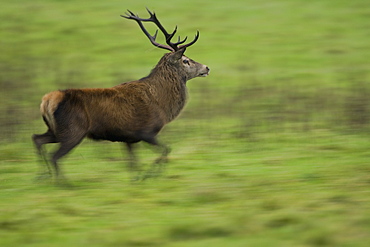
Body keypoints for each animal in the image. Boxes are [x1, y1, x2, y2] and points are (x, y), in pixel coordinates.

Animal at [32, 8, 210, 180]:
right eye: (185, 60)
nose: (206, 67)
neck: (162, 104)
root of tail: (47, 100)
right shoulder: (146, 131)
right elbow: (166, 150)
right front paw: (150, 175)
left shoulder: (128, 138)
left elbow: (133, 164)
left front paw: (138, 178)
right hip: (73, 130)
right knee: (54, 156)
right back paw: (63, 183)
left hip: (56, 130)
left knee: (37, 139)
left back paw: (42, 176)